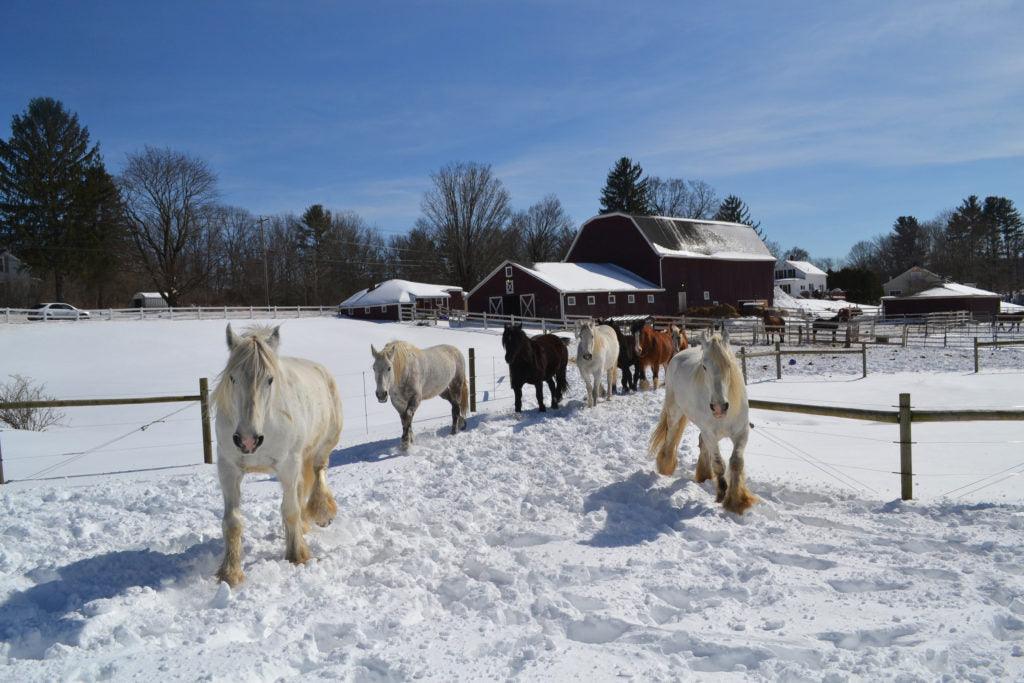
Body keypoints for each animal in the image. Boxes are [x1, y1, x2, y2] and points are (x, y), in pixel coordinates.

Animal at [213, 324, 343, 586]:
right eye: (233, 378)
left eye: (269, 379)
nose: (248, 440)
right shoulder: (228, 469)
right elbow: (232, 522)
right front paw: (230, 572)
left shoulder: (287, 466)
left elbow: (290, 510)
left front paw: (297, 556)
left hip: (321, 447)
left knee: (318, 471)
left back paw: (322, 512)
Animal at [649, 327, 756, 514]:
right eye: (705, 367)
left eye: (729, 365)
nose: (719, 407)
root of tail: (678, 355)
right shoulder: (710, 433)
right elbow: (719, 464)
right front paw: (721, 494)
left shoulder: (742, 432)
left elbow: (736, 462)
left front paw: (737, 500)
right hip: (675, 412)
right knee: (670, 436)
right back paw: (666, 466)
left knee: (701, 442)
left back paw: (703, 474)